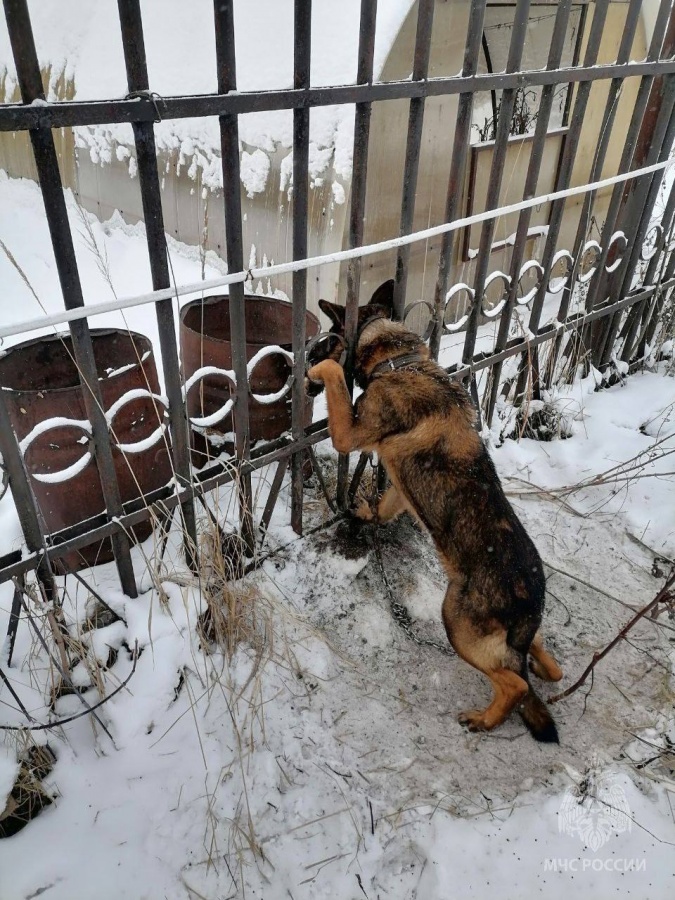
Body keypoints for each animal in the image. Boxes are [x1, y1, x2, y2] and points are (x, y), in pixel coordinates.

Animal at [308, 284, 564, 744]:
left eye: (330, 335)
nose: (307, 356)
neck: (398, 360)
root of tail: (530, 599)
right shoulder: (398, 483)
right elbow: (386, 506)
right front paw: (367, 513)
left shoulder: (349, 434)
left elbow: (337, 378)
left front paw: (322, 369)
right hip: (503, 638)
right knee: (546, 668)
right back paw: (537, 662)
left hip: (458, 623)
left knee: (515, 684)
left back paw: (485, 719)